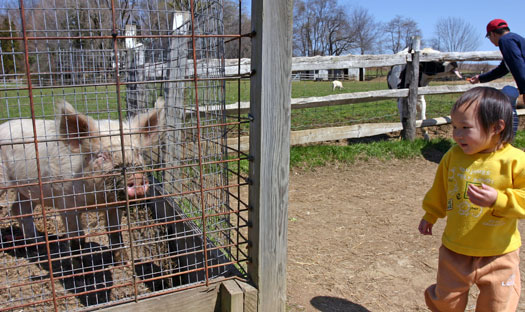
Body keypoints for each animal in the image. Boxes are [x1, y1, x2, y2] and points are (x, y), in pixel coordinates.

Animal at [0, 97, 165, 264]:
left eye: (137, 152)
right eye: (101, 155)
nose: (136, 178)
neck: (96, 200)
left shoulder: (115, 205)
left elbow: (114, 231)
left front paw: (123, 261)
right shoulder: (66, 203)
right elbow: (77, 238)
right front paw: (80, 266)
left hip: (29, 190)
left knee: (19, 210)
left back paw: (39, 244)